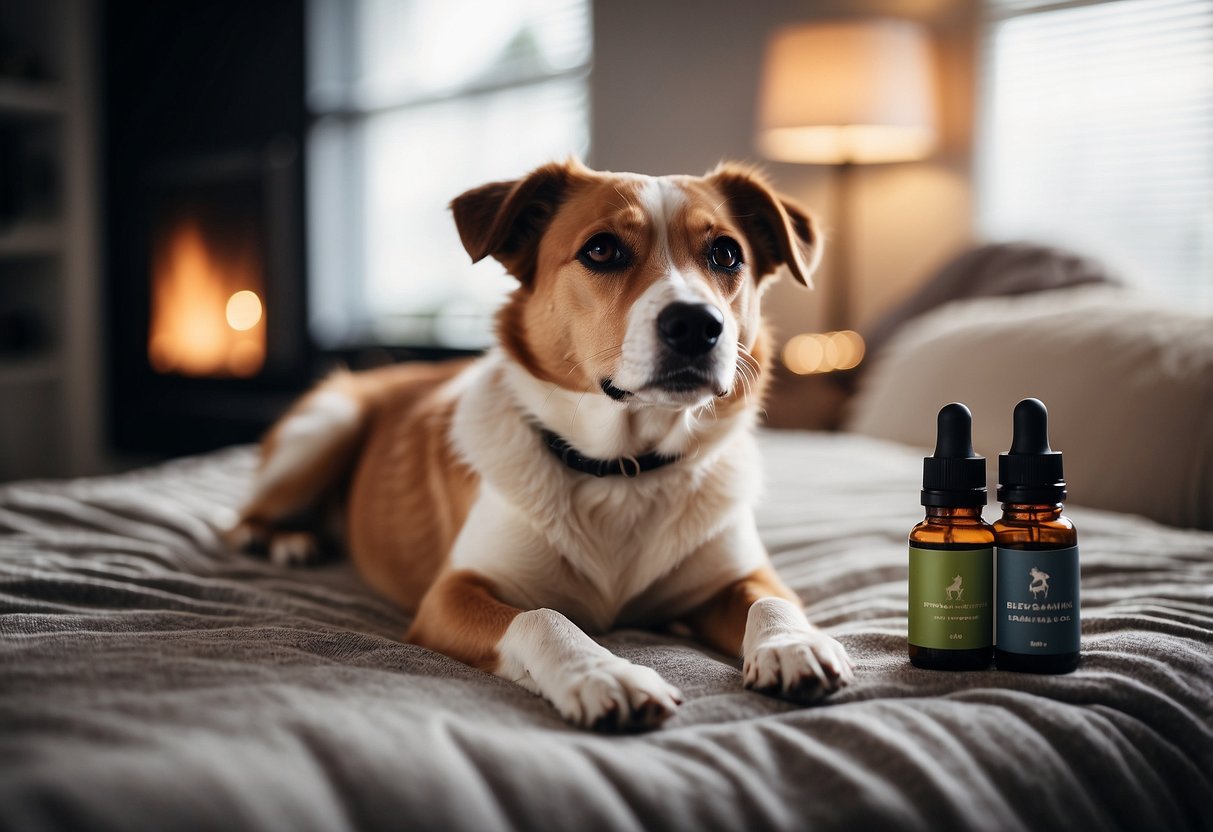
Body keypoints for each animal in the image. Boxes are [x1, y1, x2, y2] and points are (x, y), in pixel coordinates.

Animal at [231, 161, 858, 727]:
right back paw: (286, 540)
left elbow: (773, 599)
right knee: (243, 516)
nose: (697, 325)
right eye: (602, 250)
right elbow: (542, 616)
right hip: (325, 426)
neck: (625, 468)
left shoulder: (741, 575)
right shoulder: (450, 595)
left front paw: (791, 644)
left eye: (727, 255)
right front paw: (603, 673)